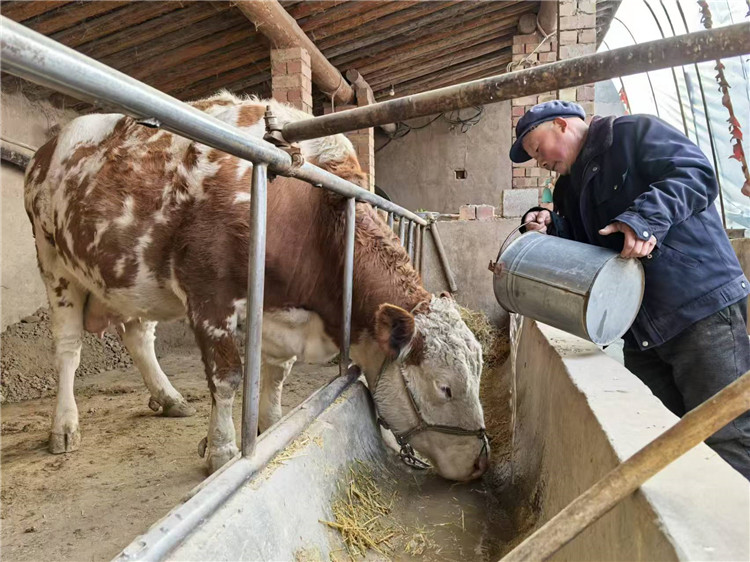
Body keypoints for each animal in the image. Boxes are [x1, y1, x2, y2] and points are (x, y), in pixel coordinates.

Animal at [23, 93, 490, 482]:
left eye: (478, 371)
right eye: (445, 388)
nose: (479, 463)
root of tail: (51, 145)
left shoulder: (278, 311)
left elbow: (277, 373)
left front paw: (271, 423)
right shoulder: (210, 296)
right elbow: (228, 378)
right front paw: (222, 450)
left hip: (134, 279)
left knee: (139, 335)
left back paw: (169, 398)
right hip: (53, 261)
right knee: (68, 347)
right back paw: (64, 425)